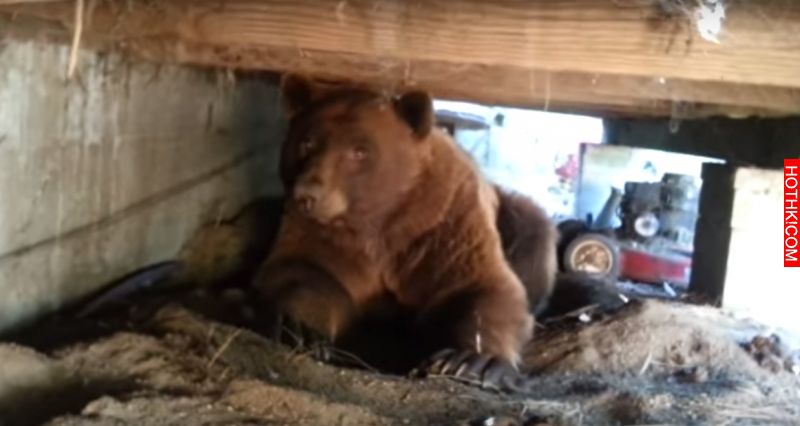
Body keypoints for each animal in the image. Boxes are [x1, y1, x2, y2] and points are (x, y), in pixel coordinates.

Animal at [254, 75, 536, 385]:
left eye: (360, 150)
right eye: (306, 143)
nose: (306, 195)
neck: (382, 217)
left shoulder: (447, 223)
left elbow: (484, 286)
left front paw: (470, 361)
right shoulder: (321, 234)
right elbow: (302, 271)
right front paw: (301, 329)